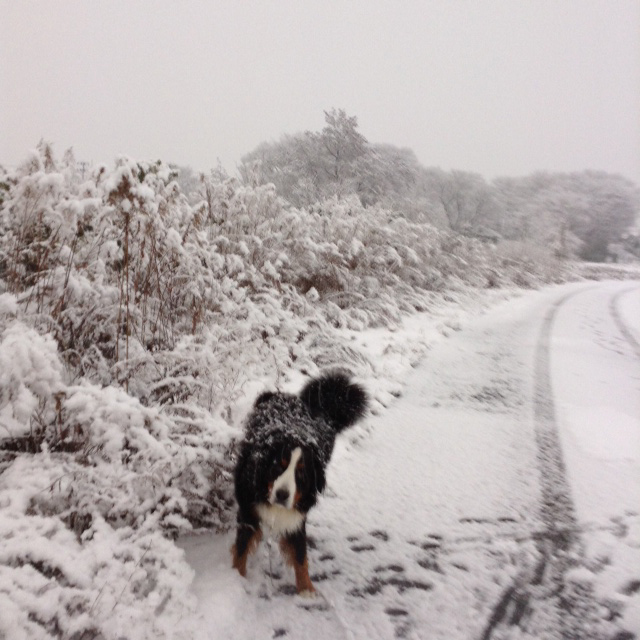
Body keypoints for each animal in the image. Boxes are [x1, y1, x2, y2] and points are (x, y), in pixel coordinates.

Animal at [232, 370, 368, 596]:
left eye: (301, 475)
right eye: (278, 467)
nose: (282, 495)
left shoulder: (297, 516)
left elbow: (300, 555)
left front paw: (307, 591)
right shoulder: (248, 511)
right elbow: (241, 551)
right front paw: (236, 580)